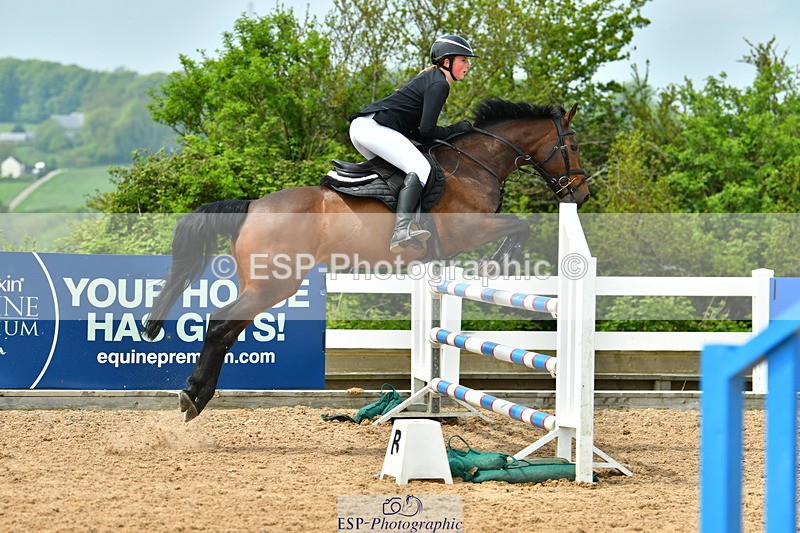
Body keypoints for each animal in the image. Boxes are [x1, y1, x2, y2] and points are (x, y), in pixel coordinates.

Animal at [143, 99, 590, 421]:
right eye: (572, 146)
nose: (581, 195)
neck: (476, 164)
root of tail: (253, 206)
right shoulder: (470, 229)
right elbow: (519, 226)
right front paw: (495, 265)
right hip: (274, 284)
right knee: (220, 324)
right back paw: (193, 397)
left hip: (262, 284)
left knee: (227, 329)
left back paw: (195, 395)